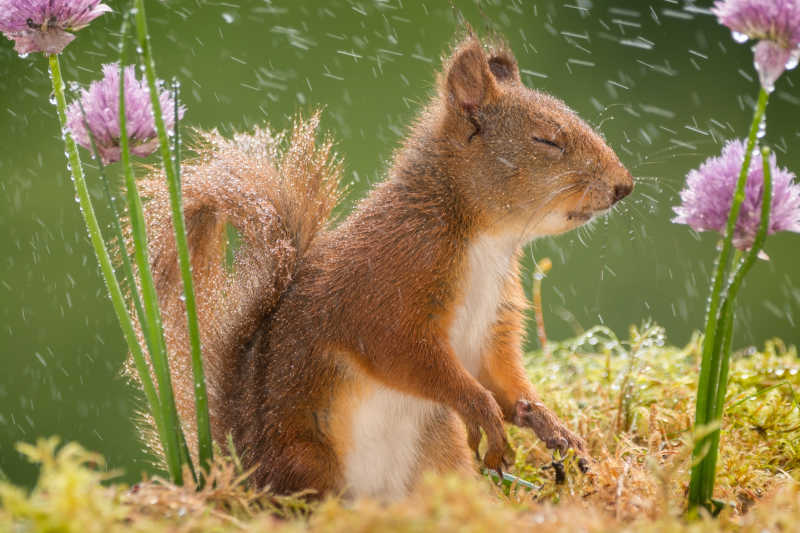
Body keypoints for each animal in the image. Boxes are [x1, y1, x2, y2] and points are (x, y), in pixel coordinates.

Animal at [136, 34, 632, 498]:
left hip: (437, 451)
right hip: (310, 459)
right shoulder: (387, 286)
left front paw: (547, 421)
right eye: (546, 140)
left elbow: (501, 377)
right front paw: (480, 409)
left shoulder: (493, 321)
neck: (485, 240)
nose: (623, 186)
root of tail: (246, 470)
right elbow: (407, 356)